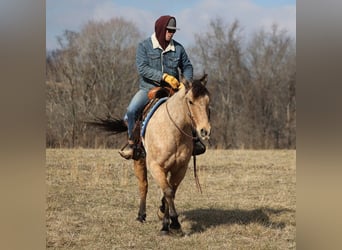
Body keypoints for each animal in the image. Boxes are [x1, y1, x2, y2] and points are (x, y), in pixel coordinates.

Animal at [90, 74, 211, 234]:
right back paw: (141, 215)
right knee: (144, 186)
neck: (172, 131)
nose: (205, 131)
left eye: (208, 101)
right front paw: (173, 223)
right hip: (139, 159)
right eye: (190, 101)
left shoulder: (180, 169)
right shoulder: (155, 166)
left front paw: (166, 219)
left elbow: (170, 191)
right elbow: (168, 191)